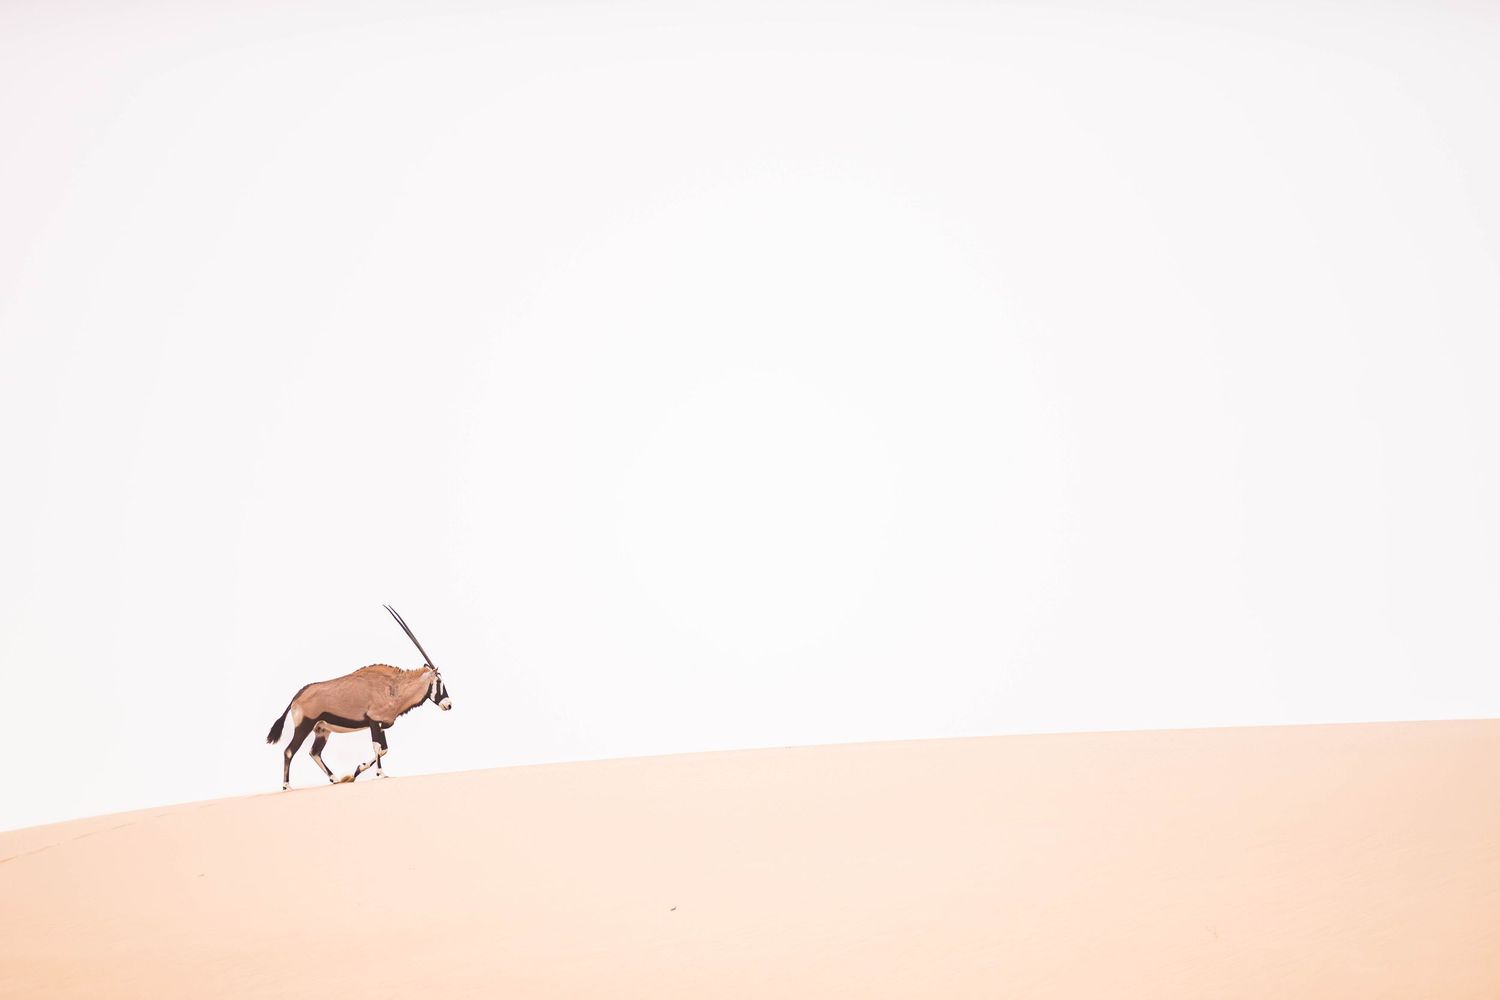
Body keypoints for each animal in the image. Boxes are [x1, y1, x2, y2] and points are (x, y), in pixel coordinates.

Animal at [266, 605, 453, 789]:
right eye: (439, 681)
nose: (448, 704)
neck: (393, 686)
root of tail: (298, 695)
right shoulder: (373, 721)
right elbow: (377, 747)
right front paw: (380, 774)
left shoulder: (381, 725)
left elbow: (384, 749)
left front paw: (356, 771)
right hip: (304, 726)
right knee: (289, 751)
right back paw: (287, 786)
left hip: (322, 730)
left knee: (315, 752)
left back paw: (335, 779)